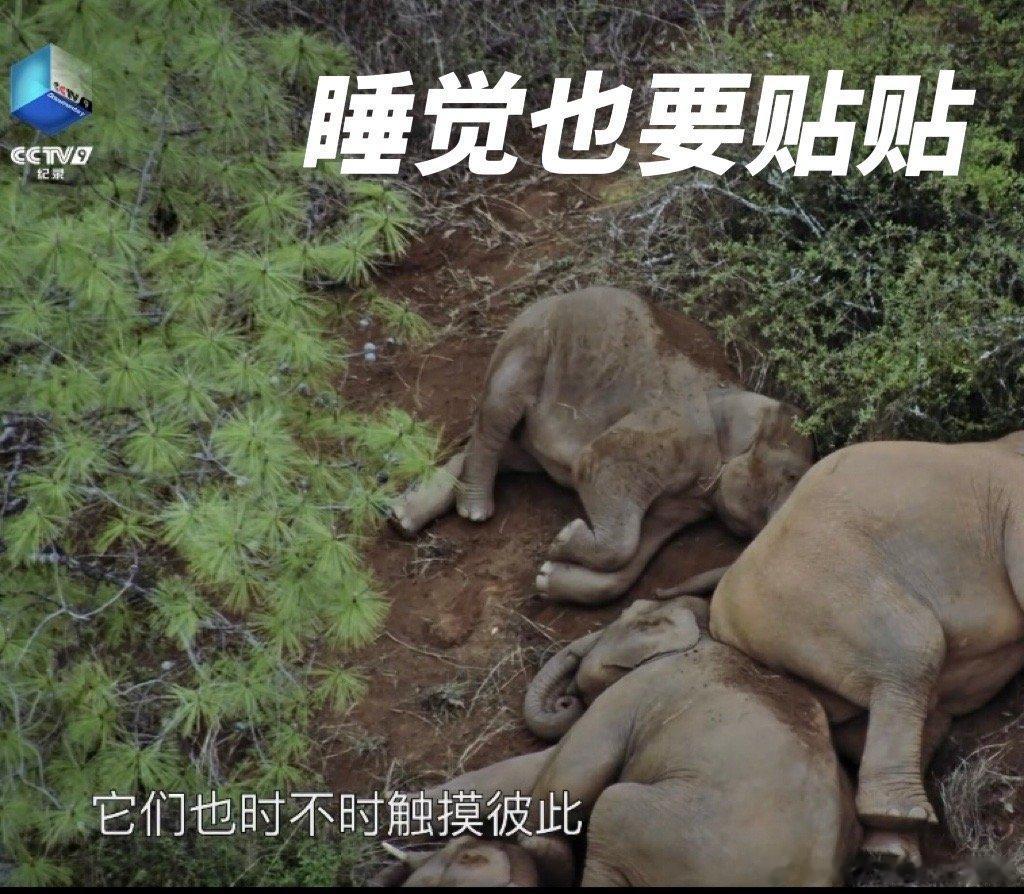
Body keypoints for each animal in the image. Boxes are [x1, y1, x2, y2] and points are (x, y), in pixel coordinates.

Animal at [376, 598, 860, 886]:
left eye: (620, 618)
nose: (567, 696)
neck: (700, 634)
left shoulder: (636, 691)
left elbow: (563, 770)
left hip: (655, 833)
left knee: (609, 815)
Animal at [390, 286, 813, 605]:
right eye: (791, 475)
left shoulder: (688, 500)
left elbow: (639, 553)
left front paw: (546, 579)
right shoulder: (668, 433)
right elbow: (597, 467)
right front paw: (563, 538)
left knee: (516, 451)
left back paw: (402, 515)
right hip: (533, 338)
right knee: (496, 413)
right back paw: (474, 510)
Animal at [706, 432, 1024, 842]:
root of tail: (723, 612)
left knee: (924, 709)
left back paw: (894, 845)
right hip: (821, 585)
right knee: (913, 650)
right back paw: (899, 815)